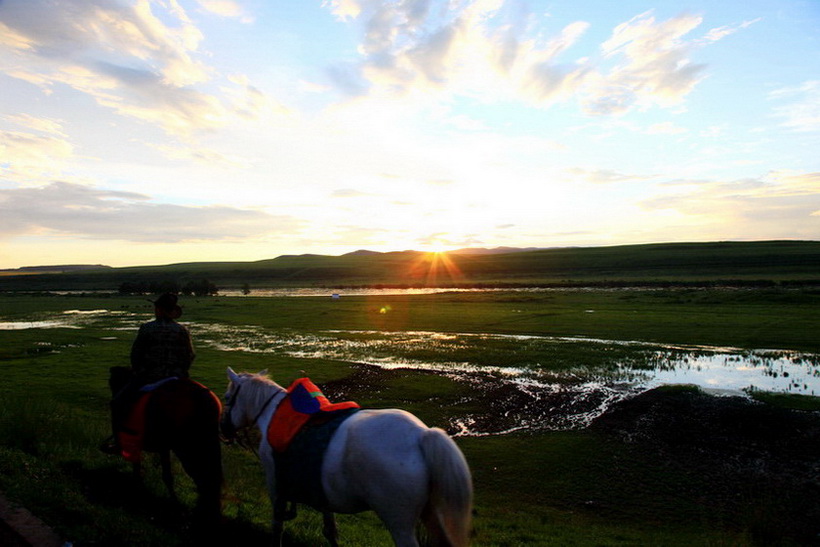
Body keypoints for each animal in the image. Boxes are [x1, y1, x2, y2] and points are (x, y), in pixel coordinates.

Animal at [221, 368, 474, 547]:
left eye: (226, 397)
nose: (223, 429)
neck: (272, 415)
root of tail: (421, 435)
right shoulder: (321, 492)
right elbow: (330, 531)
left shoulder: (276, 487)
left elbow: (277, 526)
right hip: (434, 514)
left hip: (399, 523)